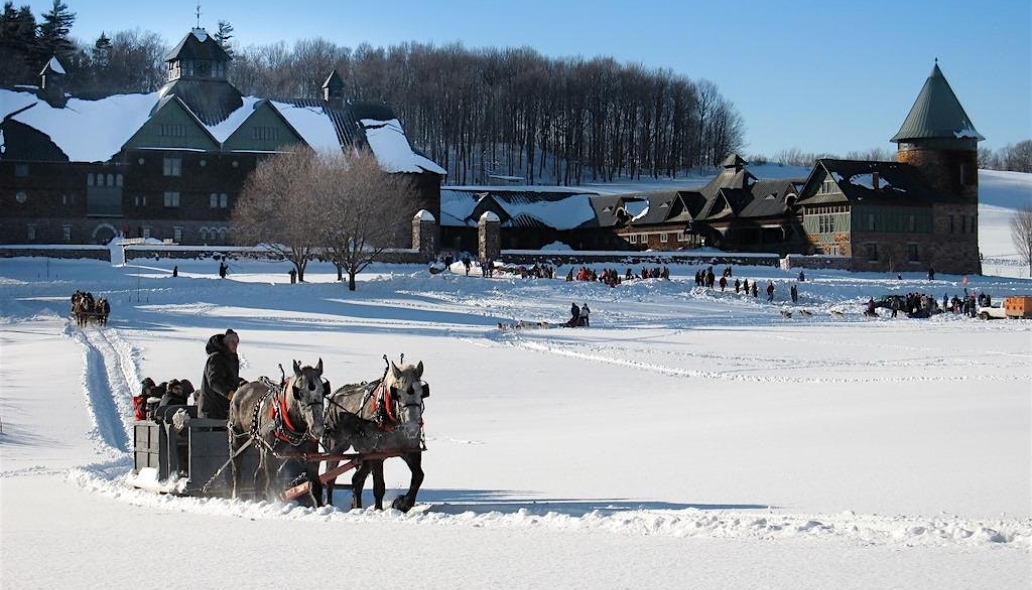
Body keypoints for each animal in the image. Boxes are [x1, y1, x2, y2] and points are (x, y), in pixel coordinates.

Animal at [227, 359, 327, 505]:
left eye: (323, 391)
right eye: (299, 393)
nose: (317, 428)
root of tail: (241, 389)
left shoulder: (310, 455)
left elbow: (315, 487)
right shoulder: (271, 456)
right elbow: (270, 487)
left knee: (258, 476)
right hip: (238, 441)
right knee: (237, 472)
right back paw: (237, 497)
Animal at [322, 358, 427, 512]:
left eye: (421, 394)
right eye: (398, 395)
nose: (412, 428)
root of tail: (334, 396)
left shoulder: (411, 450)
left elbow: (419, 476)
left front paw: (403, 503)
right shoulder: (377, 454)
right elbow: (379, 486)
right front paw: (379, 509)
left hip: (364, 453)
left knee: (357, 480)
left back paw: (357, 507)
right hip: (336, 447)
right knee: (330, 477)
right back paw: (328, 505)